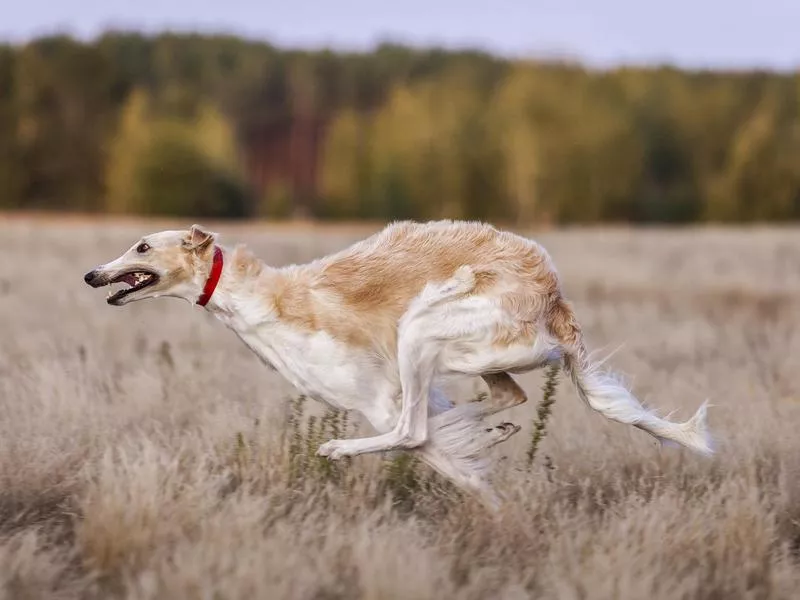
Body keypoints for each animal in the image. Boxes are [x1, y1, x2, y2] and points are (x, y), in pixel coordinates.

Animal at [84, 220, 712, 506]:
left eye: (142, 246)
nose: (92, 274)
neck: (263, 300)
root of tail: (555, 303)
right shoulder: (400, 394)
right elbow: (450, 441)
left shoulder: (377, 397)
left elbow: (427, 443)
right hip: (468, 351)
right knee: (504, 398)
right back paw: (493, 430)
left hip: (425, 328)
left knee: (416, 430)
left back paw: (340, 448)